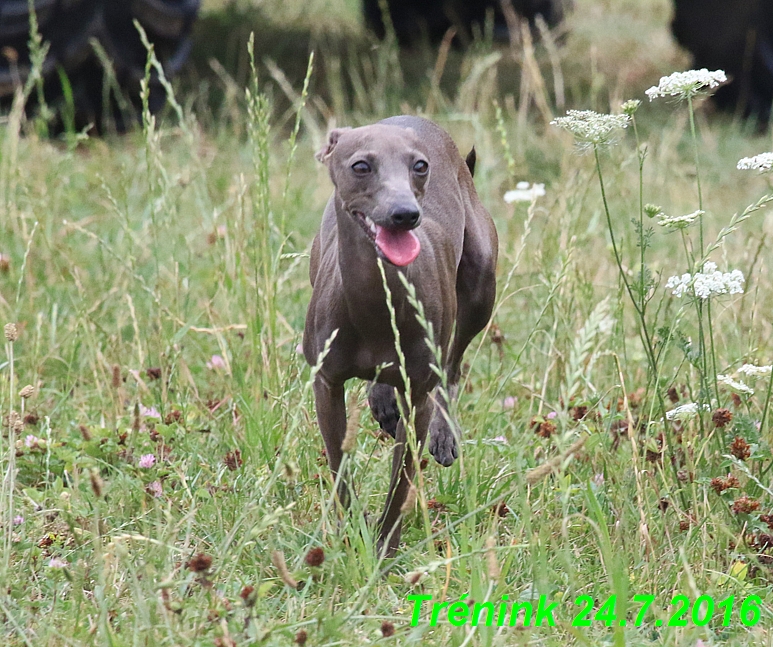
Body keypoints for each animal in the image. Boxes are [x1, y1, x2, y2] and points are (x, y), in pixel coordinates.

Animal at [302, 114, 494, 556]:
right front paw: (354, 534)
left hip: (481, 284)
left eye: (419, 166)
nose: (405, 214)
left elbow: (401, 483)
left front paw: (384, 553)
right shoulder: (326, 383)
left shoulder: (417, 392)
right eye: (360, 166)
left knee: (452, 368)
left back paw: (442, 434)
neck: (376, 300)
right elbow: (340, 469)